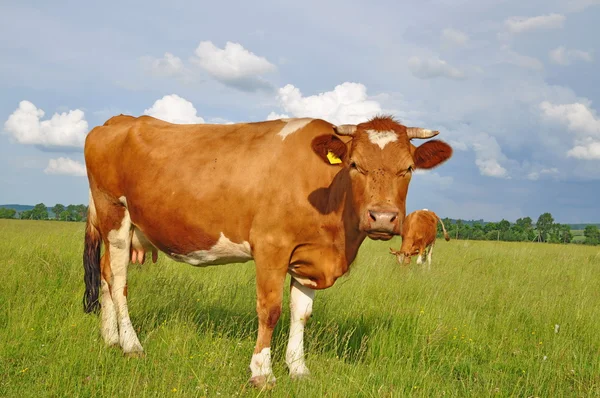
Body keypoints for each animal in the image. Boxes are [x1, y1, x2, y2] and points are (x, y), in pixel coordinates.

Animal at [82, 113, 452, 388]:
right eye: (355, 165)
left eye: (408, 168)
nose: (383, 217)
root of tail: (118, 120)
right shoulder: (271, 247)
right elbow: (271, 310)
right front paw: (262, 372)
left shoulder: (308, 257)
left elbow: (301, 313)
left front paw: (298, 368)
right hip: (114, 213)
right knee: (119, 280)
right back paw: (131, 345)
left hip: (126, 227)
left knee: (105, 274)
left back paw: (110, 338)